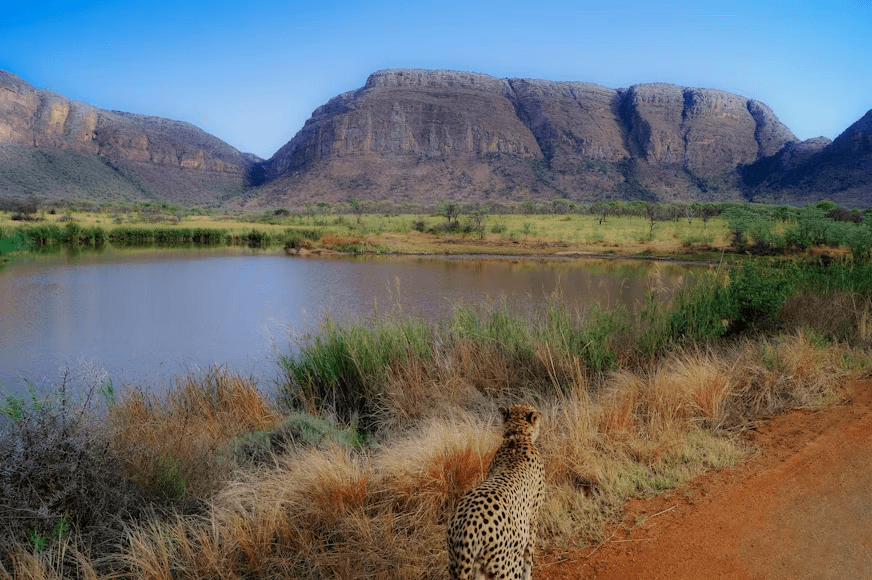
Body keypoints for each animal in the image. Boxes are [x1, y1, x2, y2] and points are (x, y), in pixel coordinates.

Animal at [447, 404, 545, 580]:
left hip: (458, 564)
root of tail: (467, 524)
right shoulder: (533, 518)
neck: (516, 438)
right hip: (507, 567)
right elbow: (529, 558)